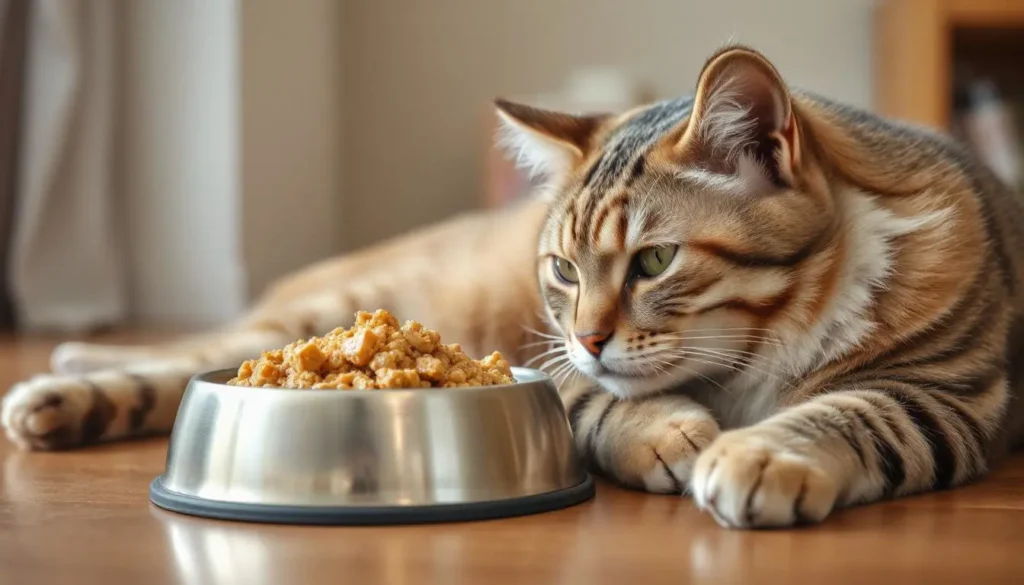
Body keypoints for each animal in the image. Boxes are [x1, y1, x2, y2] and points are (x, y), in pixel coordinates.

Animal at [2, 46, 1024, 532]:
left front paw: (758, 455)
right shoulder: (543, 357)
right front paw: (671, 433)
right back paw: (59, 376)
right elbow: (599, 403)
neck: (757, 353)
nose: (592, 335)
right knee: (204, 349)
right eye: (564, 270)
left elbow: (848, 411)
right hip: (345, 311)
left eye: (654, 262)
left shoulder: (947, 393)